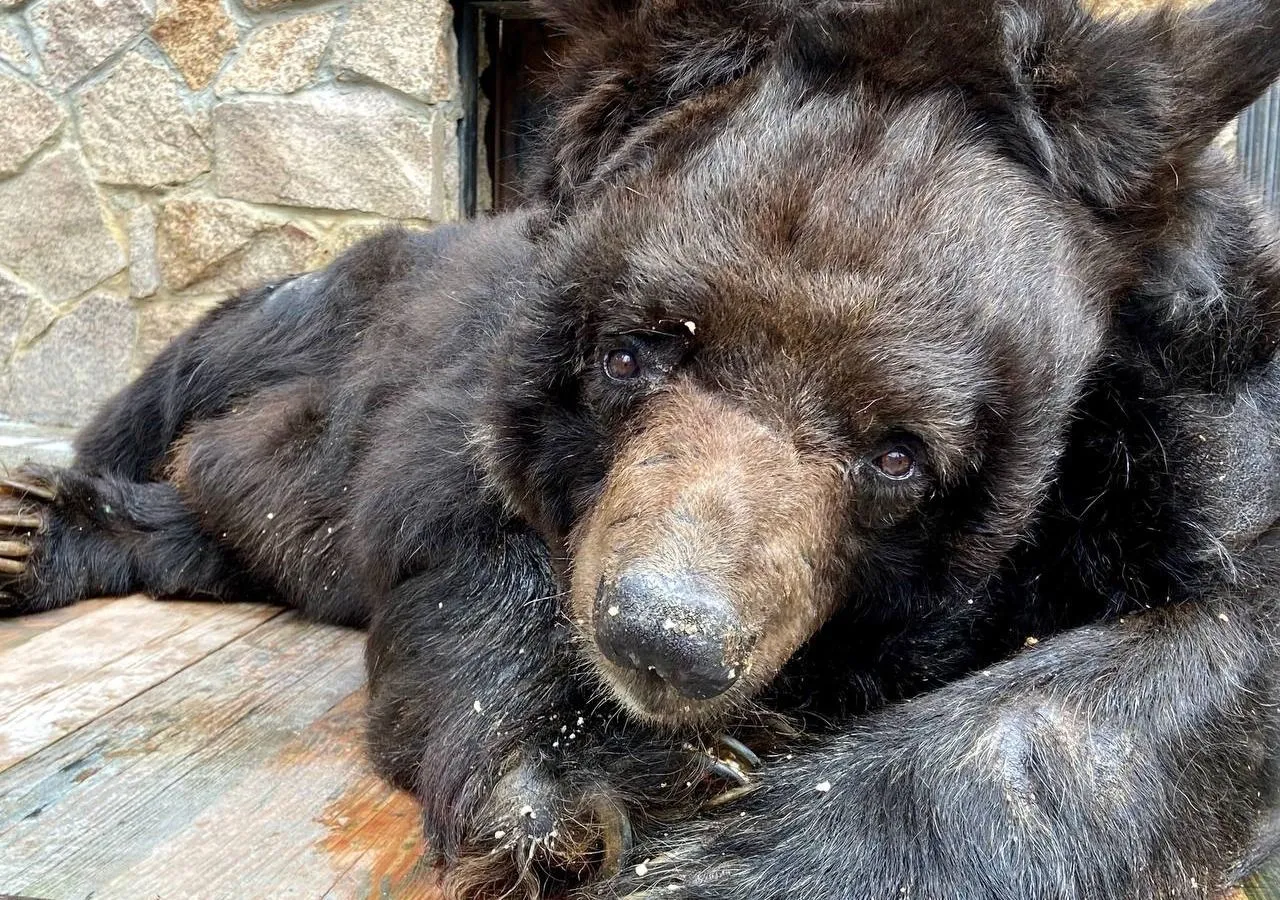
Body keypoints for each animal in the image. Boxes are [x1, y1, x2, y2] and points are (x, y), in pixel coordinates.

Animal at [2, 0, 1280, 896]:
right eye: (632, 353)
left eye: (898, 453)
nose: (664, 639)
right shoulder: (476, 383)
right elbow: (468, 534)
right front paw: (604, 776)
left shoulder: (1200, 417)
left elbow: (1181, 665)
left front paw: (736, 855)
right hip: (291, 317)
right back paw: (35, 525)